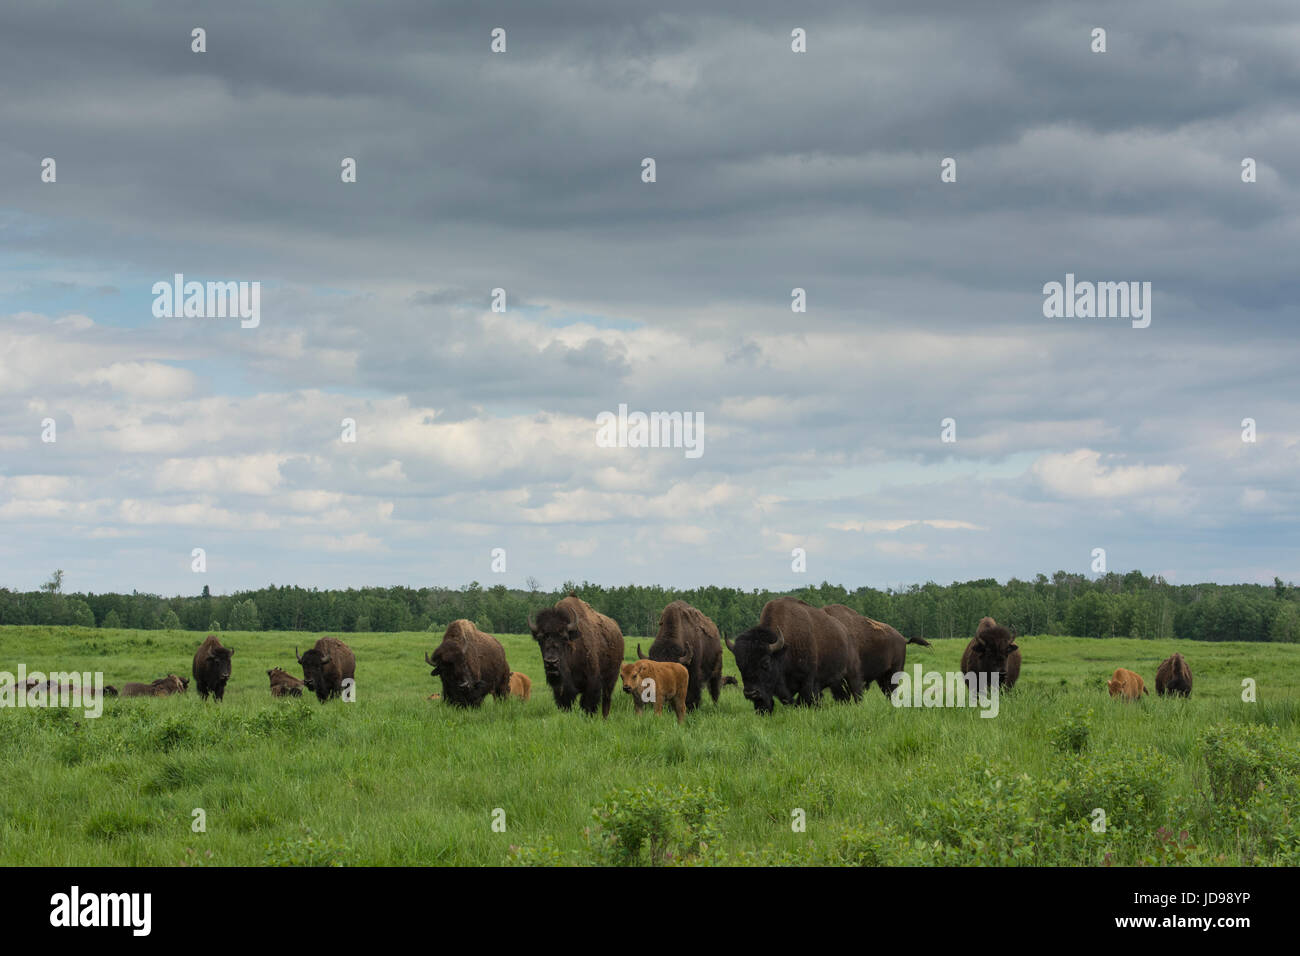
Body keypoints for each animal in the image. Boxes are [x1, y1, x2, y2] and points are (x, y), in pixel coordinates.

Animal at [728, 598, 857, 712]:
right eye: (739, 664)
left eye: (766, 662)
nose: (750, 693)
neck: (784, 650)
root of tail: (845, 631)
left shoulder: (808, 681)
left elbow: (805, 699)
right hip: (836, 682)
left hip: (850, 674)